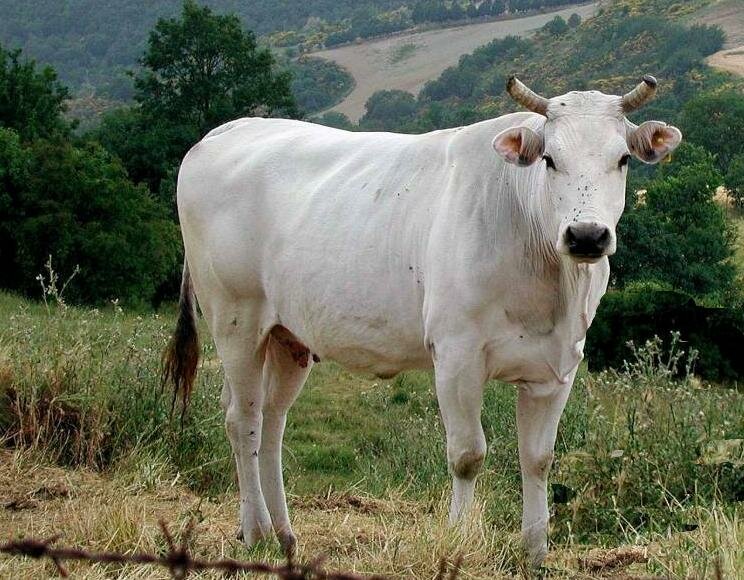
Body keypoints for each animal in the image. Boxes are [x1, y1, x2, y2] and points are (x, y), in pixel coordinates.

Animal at [163, 75, 682, 565]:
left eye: (623, 159)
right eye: (550, 160)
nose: (587, 235)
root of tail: (230, 129)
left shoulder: (558, 365)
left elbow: (538, 459)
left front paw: (535, 553)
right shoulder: (456, 355)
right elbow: (467, 456)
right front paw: (457, 542)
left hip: (287, 335)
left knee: (271, 422)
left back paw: (285, 535)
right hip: (235, 319)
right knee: (242, 420)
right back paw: (256, 531)